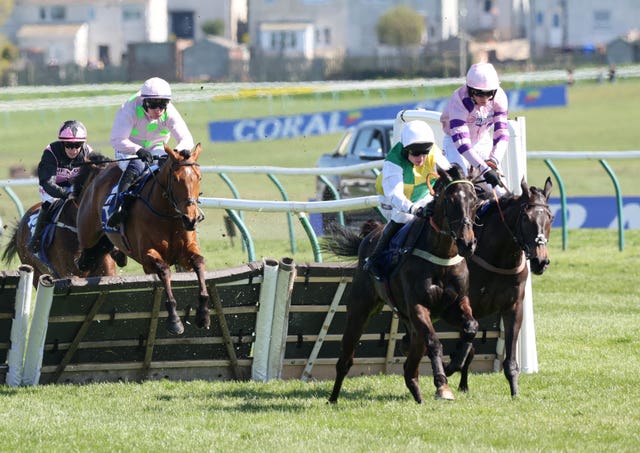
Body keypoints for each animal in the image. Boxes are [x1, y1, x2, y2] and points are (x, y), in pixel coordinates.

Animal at [75, 143, 210, 334]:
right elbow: (164, 270)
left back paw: (118, 254)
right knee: (83, 260)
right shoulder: (147, 256)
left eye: (199, 177)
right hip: (88, 236)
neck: (167, 216)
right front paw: (174, 320)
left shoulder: (186, 251)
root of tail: (100, 172)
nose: (190, 219)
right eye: (176, 179)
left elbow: (199, 263)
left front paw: (203, 314)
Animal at [324, 165, 480, 402]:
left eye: (475, 199)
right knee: (346, 359)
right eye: (450, 200)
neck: (441, 256)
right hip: (360, 310)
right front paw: (442, 384)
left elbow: (471, 327)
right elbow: (434, 342)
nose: (467, 243)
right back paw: (333, 398)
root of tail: (369, 235)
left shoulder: (455, 305)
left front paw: (454, 364)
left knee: (410, 366)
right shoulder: (418, 307)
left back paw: (417, 393)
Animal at [444, 177, 556, 396]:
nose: (540, 261)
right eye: (525, 218)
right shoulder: (468, 304)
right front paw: (452, 366)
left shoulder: (513, 307)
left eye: (551, 217)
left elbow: (509, 357)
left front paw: (514, 392)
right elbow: (468, 341)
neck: (499, 257)